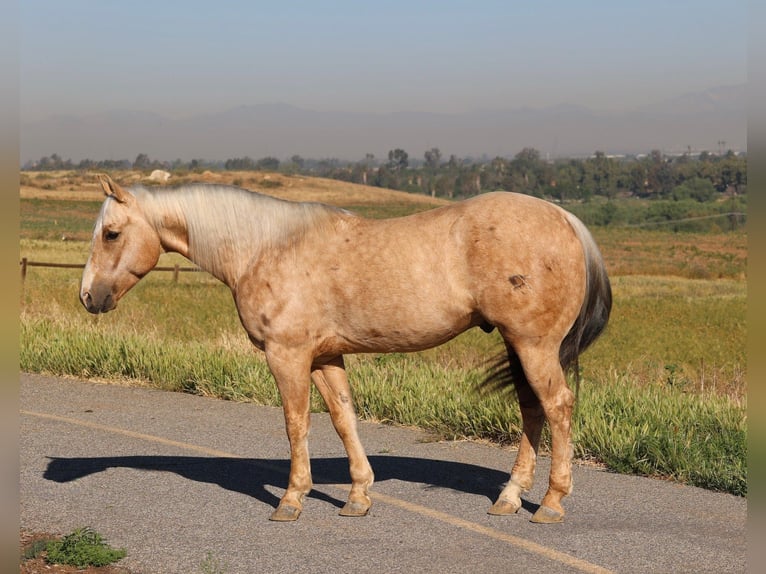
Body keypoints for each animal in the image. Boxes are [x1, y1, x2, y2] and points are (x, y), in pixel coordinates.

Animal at [80, 174, 611, 524]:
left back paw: (551, 503)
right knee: (532, 410)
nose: (88, 296)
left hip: (533, 346)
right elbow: (343, 419)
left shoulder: (287, 356)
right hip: (518, 345)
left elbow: (296, 424)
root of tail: (566, 218)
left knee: (558, 406)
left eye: (111, 233)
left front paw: (291, 499)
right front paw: (358, 495)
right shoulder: (325, 357)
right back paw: (509, 497)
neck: (264, 248)